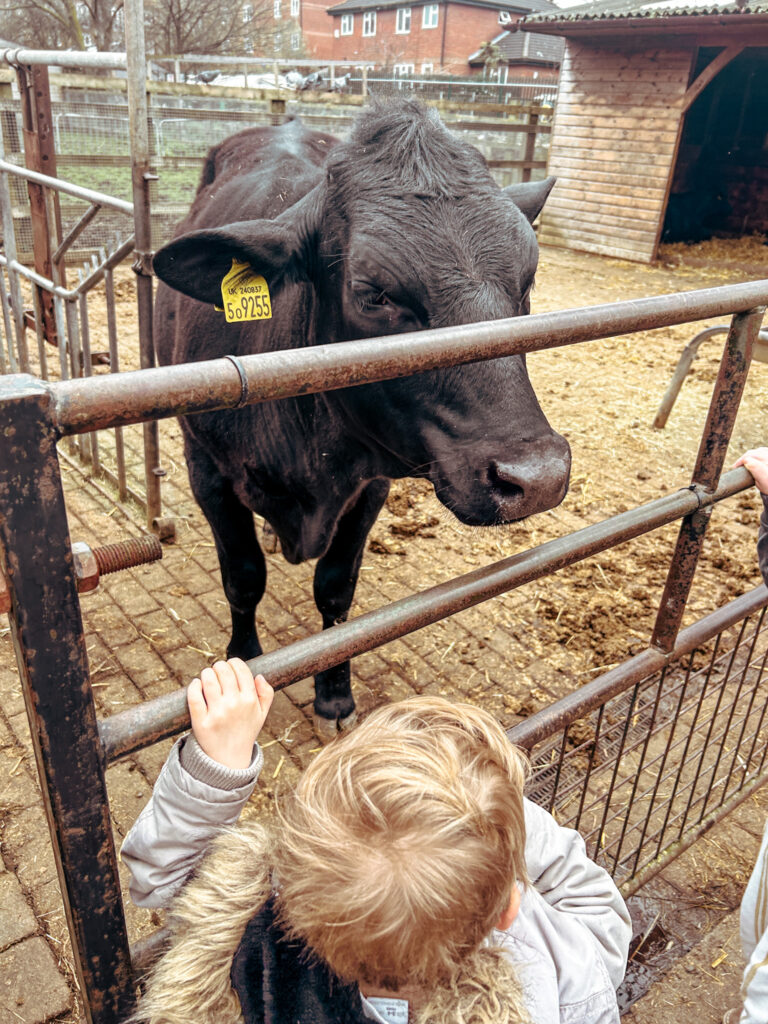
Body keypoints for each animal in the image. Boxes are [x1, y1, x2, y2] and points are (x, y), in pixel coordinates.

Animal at [151, 99, 573, 737]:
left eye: (527, 282)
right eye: (374, 292)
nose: (538, 476)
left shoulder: (368, 484)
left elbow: (335, 590)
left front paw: (333, 696)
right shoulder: (206, 468)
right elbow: (243, 577)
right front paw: (243, 665)